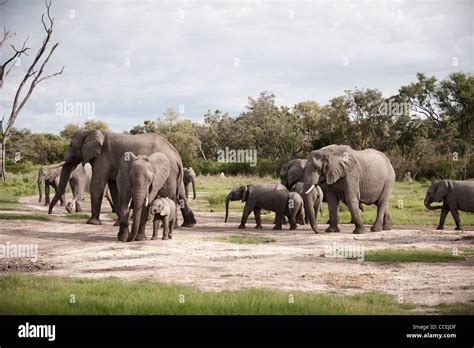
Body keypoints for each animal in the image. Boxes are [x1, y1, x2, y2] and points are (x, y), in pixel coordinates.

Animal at [48, 129, 196, 232]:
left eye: (70, 145)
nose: (49, 213)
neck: (91, 131)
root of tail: (177, 156)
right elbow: (114, 188)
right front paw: (119, 223)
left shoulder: (103, 158)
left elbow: (97, 184)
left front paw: (92, 222)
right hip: (174, 174)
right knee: (179, 195)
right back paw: (188, 224)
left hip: (168, 172)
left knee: (169, 195)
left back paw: (173, 225)